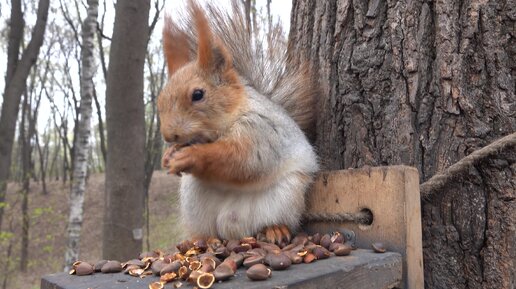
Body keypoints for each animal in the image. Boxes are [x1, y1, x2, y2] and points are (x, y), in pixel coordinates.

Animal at [157, 0, 318, 243]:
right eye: (159, 99)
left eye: (198, 94)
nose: (169, 135)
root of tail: (231, 229)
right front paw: (168, 156)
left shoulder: (261, 130)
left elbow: (241, 158)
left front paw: (191, 156)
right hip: (193, 203)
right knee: (204, 230)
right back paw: (201, 239)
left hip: (286, 195)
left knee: (273, 220)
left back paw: (275, 229)